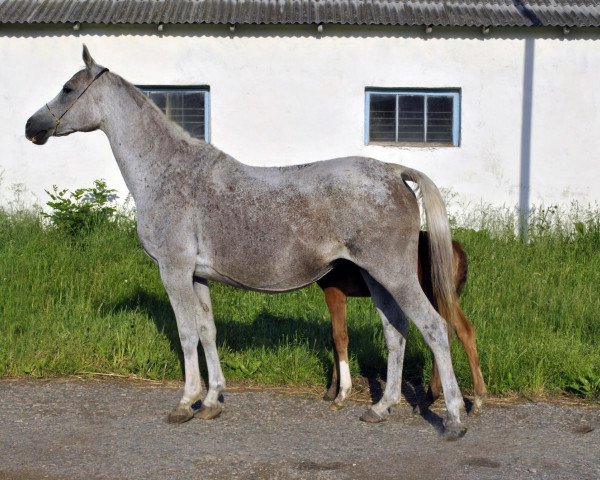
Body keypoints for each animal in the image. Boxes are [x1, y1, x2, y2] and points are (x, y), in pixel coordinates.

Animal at [25, 46, 468, 438]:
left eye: (68, 88)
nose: (32, 127)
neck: (168, 171)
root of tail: (394, 171)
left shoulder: (174, 270)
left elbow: (186, 333)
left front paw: (185, 403)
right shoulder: (198, 276)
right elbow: (207, 331)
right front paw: (212, 401)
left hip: (395, 275)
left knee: (434, 327)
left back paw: (454, 419)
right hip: (378, 278)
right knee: (396, 332)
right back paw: (381, 408)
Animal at [316, 232, 486, 412]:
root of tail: (456, 248)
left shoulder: (335, 290)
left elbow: (339, 337)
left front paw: (340, 395)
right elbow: (334, 338)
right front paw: (331, 390)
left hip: (434, 294)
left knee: (453, 331)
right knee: (460, 331)